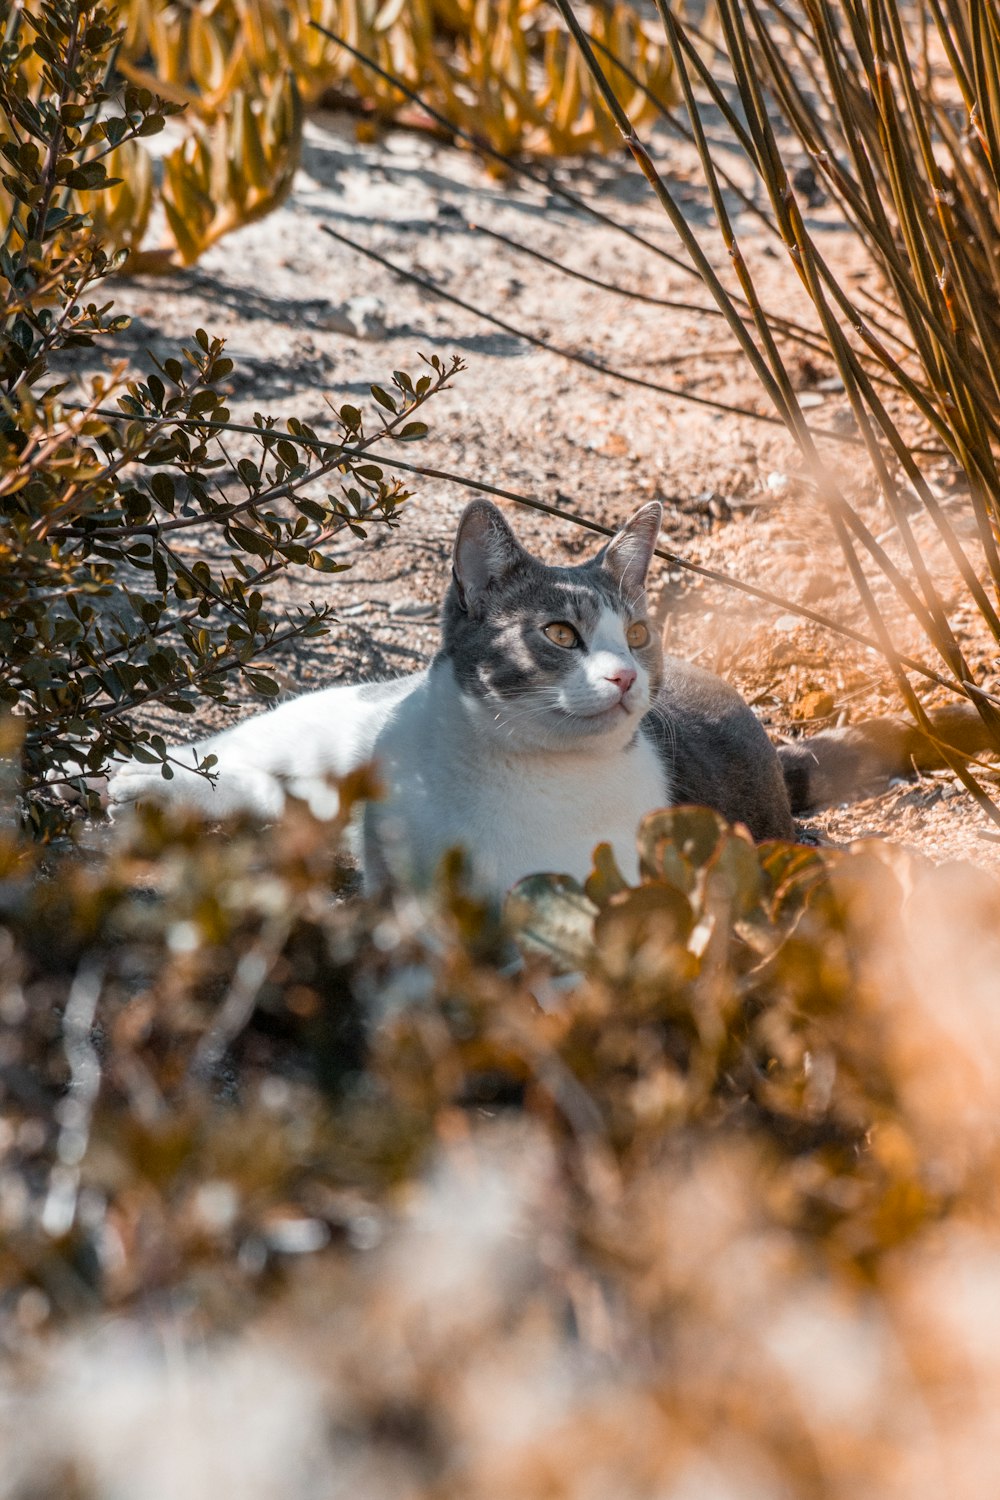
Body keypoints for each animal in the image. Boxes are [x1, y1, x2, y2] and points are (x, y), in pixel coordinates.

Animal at [105, 501, 995, 888]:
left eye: (637, 633)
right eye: (561, 634)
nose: (628, 676)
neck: (505, 770)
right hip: (326, 724)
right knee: (249, 761)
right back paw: (138, 774)